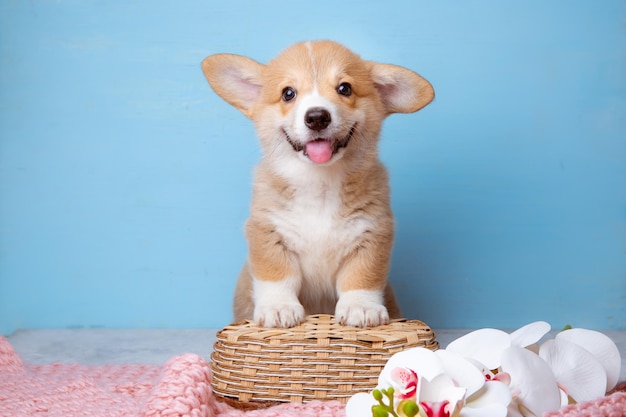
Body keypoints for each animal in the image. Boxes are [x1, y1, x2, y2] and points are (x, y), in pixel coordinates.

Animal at [202, 40, 432, 326]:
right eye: (288, 93)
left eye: (345, 88)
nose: (317, 117)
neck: (319, 181)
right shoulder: (267, 233)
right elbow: (277, 275)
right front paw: (278, 308)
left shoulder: (372, 234)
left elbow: (362, 277)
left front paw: (361, 307)